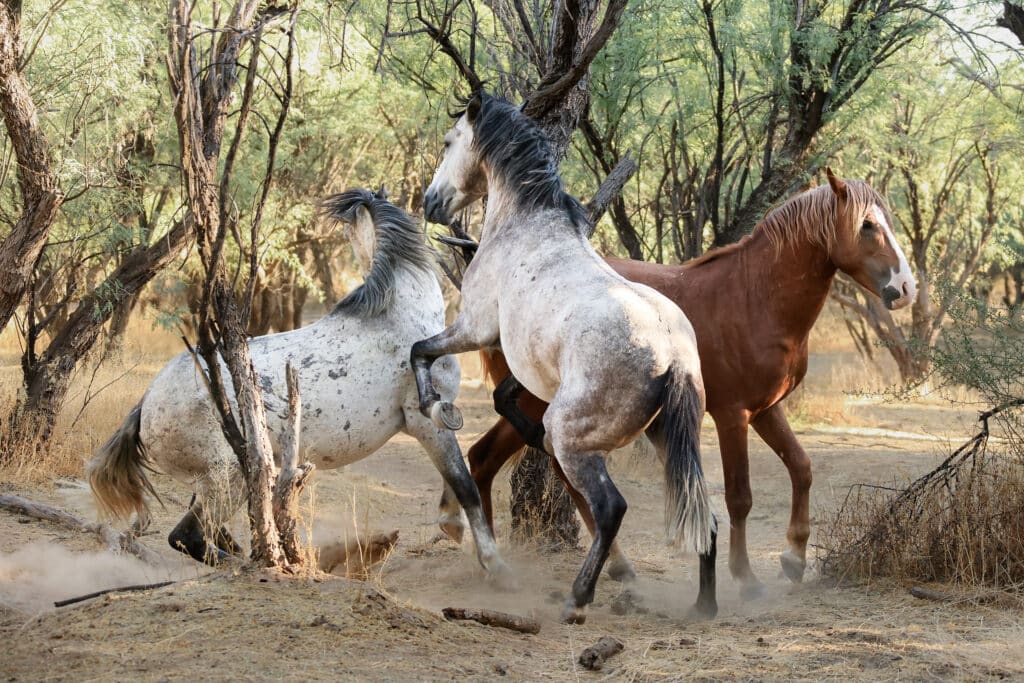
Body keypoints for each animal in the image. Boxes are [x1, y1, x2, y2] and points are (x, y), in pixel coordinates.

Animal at [411, 92, 716, 626]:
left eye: (449, 142)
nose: (430, 201)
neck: (526, 224)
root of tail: (672, 355)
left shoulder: (473, 329)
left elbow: (421, 351)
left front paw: (435, 405)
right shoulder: (525, 366)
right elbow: (503, 396)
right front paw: (524, 432)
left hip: (577, 441)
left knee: (611, 508)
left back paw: (578, 598)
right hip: (669, 437)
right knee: (707, 514)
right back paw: (705, 604)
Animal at [444, 171, 917, 598]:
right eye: (868, 225)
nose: (905, 288)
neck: (754, 297)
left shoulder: (766, 409)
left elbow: (801, 467)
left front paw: (794, 559)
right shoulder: (732, 415)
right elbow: (739, 497)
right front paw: (746, 577)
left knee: (486, 458)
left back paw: (497, 561)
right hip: (549, 405)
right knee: (541, 467)